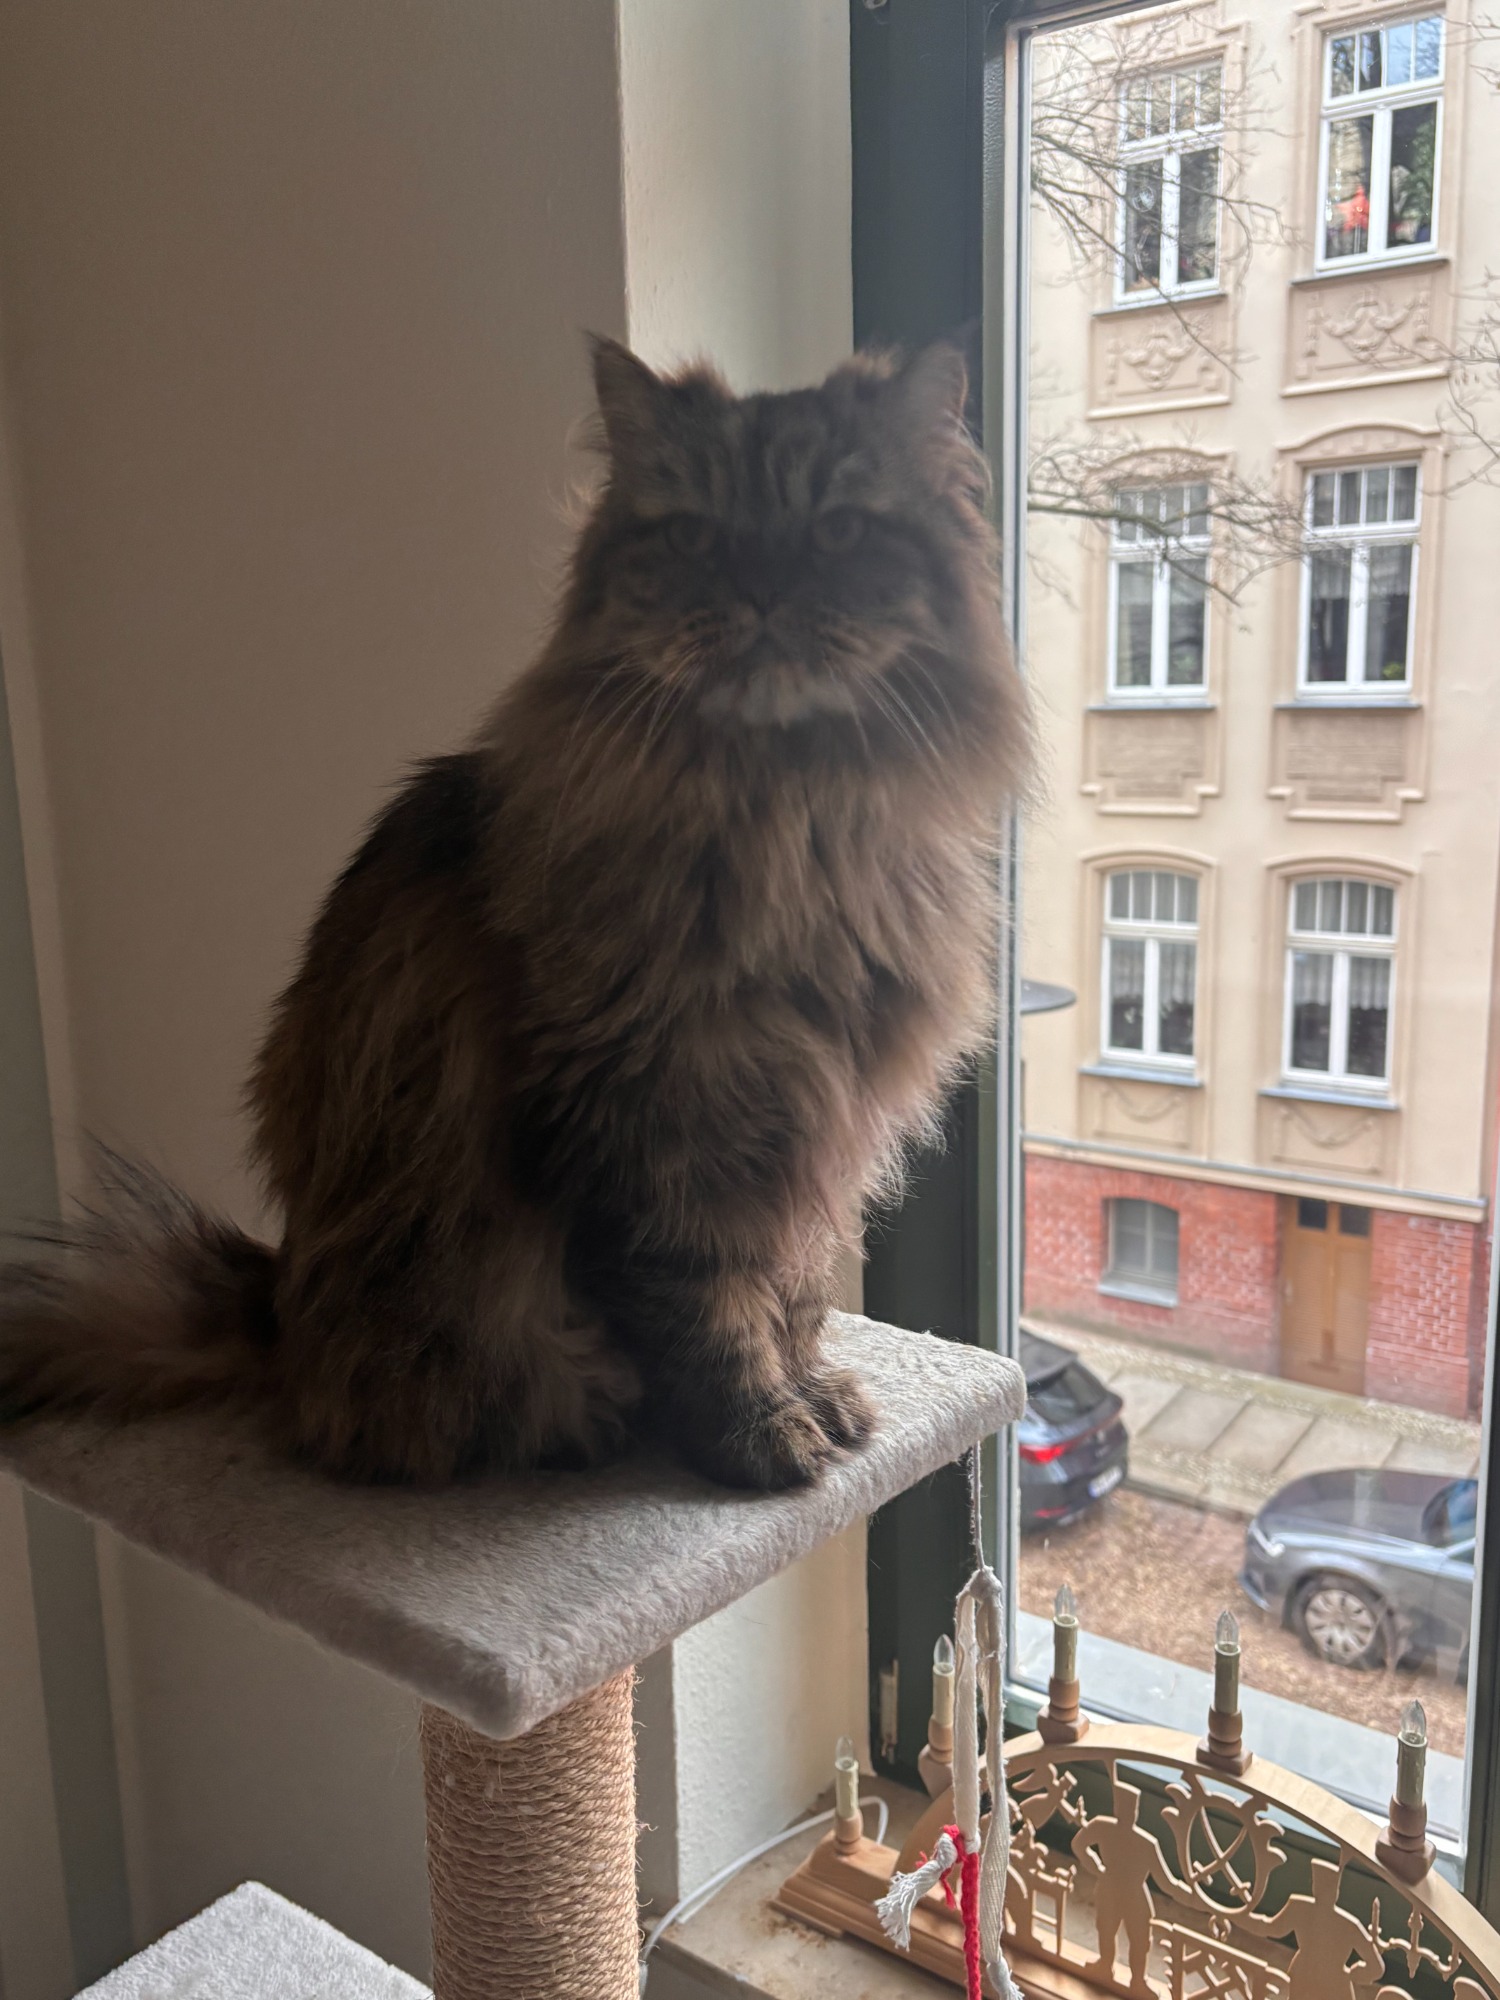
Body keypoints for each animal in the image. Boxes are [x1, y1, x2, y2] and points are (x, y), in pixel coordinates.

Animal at [0, 338, 1028, 1491]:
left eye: (841, 528)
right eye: (693, 536)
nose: (762, 591)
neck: (793, 821)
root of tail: (276, 1314)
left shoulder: (817, 1123)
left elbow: (796, 1290)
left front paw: (812, 1392)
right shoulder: (656, 1117)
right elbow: (707, 1301)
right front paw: (756, 1434)